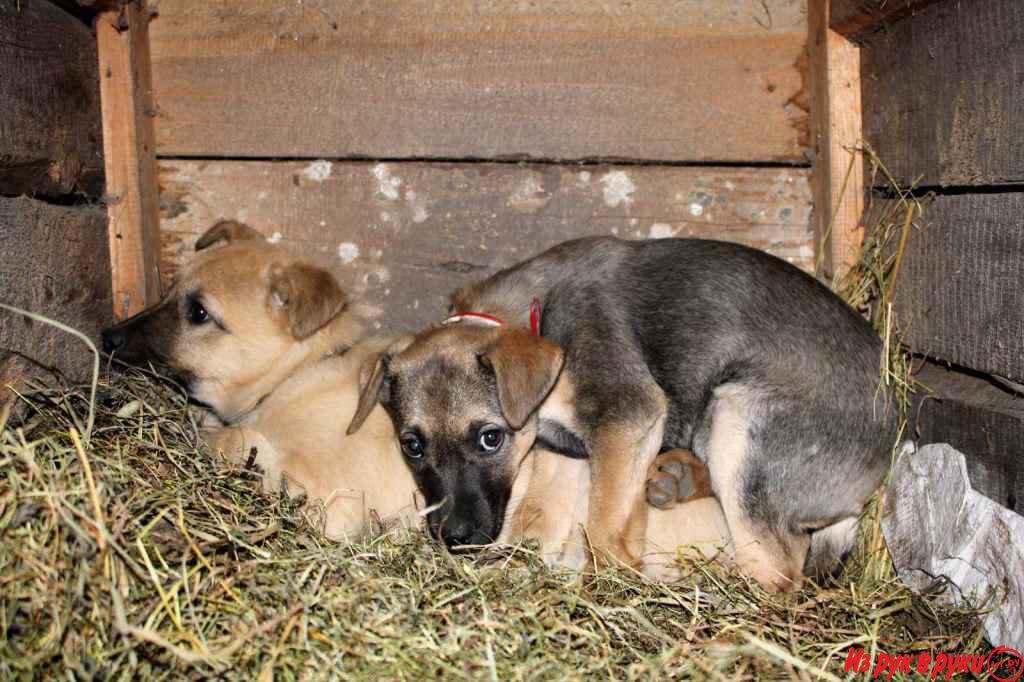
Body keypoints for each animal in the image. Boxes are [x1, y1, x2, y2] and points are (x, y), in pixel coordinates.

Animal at [346, 236, 897, 585]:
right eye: (412, 446)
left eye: (489, 437)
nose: (455, 538)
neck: (536, 322)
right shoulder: (589, 449)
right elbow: (584, 514)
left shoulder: (627, 412)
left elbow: (605, 530)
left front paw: (613, 579)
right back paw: (678, 477)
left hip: (740, 417)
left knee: (780, 574)